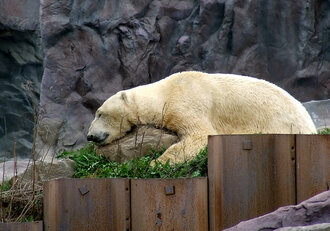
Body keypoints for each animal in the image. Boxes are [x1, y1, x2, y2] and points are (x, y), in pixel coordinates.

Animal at [87, 71, 318, 163]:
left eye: (99, 113)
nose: (90, 136)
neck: (164, 93)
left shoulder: (187, 101)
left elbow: (199, 135)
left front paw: (156, 163)